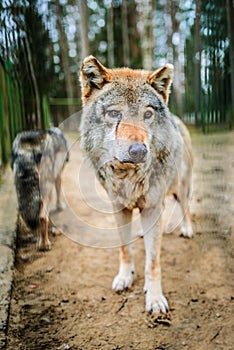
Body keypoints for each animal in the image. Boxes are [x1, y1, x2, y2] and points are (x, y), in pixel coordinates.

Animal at [79, 56, 193, 314]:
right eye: (114, 113)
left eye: (147, 115)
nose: (139, 151)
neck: (128, 177)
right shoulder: (119, 208)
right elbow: (124, 249)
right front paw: (124, 277)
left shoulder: (152, 208)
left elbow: (153, 262)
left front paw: (155, 298)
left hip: (181, 187)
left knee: (186, 207)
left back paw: (187, 229)